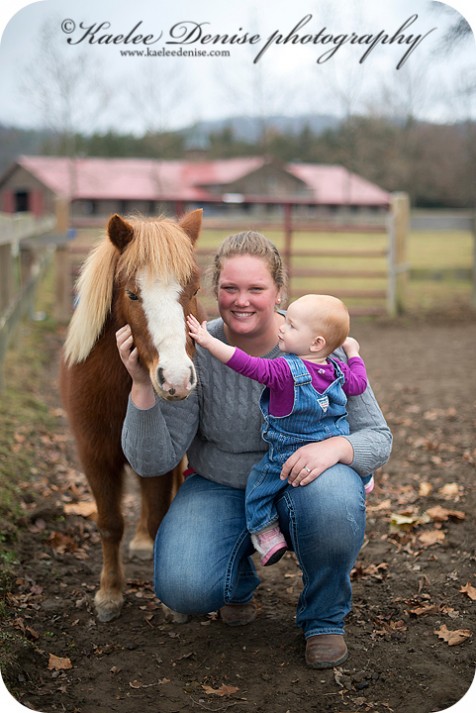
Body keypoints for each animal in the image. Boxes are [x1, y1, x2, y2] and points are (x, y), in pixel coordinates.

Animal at [60, 209, 203, 620]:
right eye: (132, 294)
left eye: (194, 291)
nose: (177, 379)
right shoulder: (94, 455)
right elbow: (109, 523)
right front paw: (109, 593)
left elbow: (157, 517)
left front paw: (167, 599)